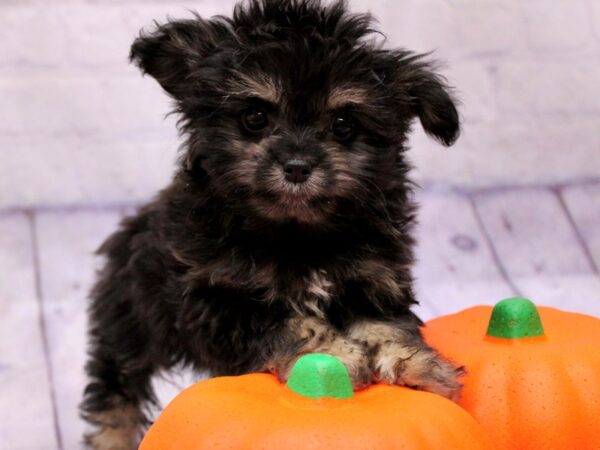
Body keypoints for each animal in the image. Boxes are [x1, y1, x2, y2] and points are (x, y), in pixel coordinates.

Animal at [79, 1, 464, 448]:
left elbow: (385, 325)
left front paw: (417, 366)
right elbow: (289, 322)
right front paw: (333, 357)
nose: (297, 166)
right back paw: (112, 435)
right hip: (132, 317)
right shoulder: (212, 298)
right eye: (255, 117)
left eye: (344, 125)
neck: (297, 235)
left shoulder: (374, 280)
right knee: (116, 384)